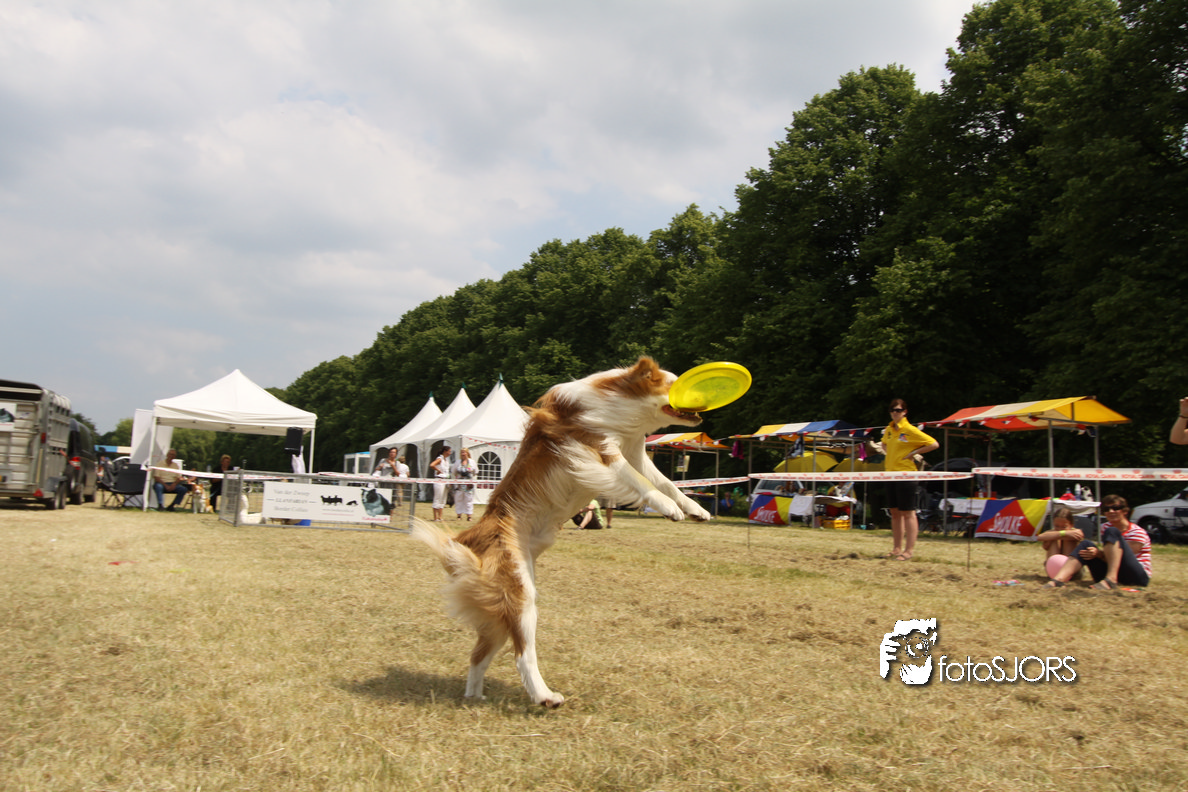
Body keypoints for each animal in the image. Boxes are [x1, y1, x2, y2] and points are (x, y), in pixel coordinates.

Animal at [412, 357, 710, 707]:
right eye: (674, 385)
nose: (706, 400)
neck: (623, 408)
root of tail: (466, 542)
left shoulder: (636, 453)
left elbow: (665, 482)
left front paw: (695, 509)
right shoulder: (592, 448)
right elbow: (641, 483)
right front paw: (669, 508)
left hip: (504, 601)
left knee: (479, 654)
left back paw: (475, 696)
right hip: (520, 595)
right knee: (522, 654)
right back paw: (545, 697)